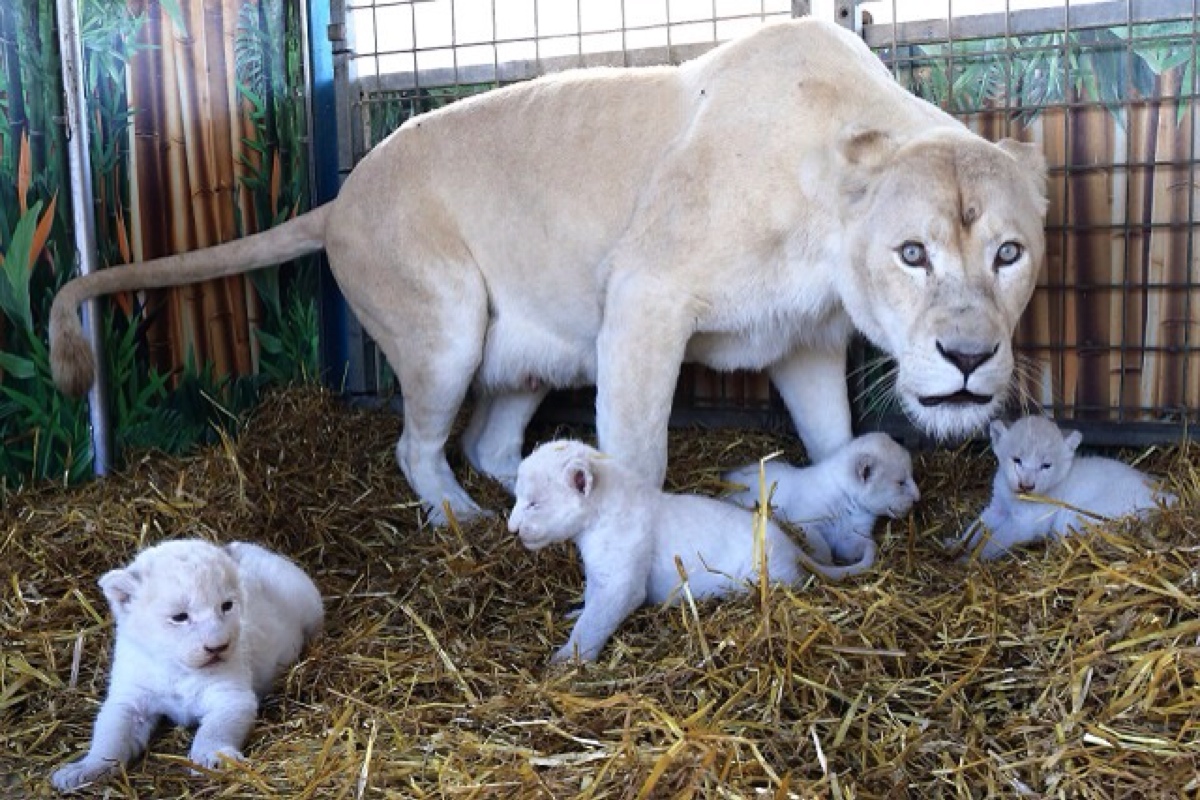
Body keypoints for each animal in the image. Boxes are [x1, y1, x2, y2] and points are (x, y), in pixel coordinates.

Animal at [49, 18, 1041, 525]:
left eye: (1010, 253)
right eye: (911, 254)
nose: (967, 359)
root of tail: (340, 194)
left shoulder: (802, 340)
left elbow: (834, 436)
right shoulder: (645, 296)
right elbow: (640, 451)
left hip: (538, 352)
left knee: (489, 443)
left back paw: (529, 487)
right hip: (446, 328)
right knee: (419, 446)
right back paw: (464, 519)